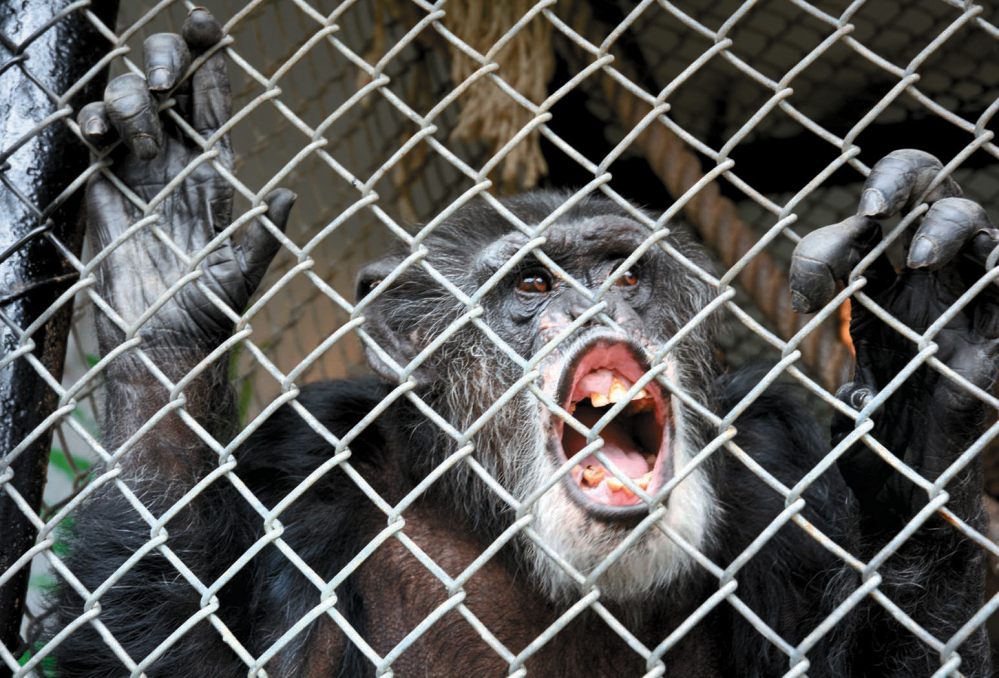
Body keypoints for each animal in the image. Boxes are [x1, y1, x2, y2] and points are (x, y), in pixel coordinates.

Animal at [37, 6, 992, 678]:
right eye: (532, 287)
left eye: (623, 274)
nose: (595, 307)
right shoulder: (302, 461)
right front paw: (164, 267)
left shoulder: (776, 453)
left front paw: (927, 346)